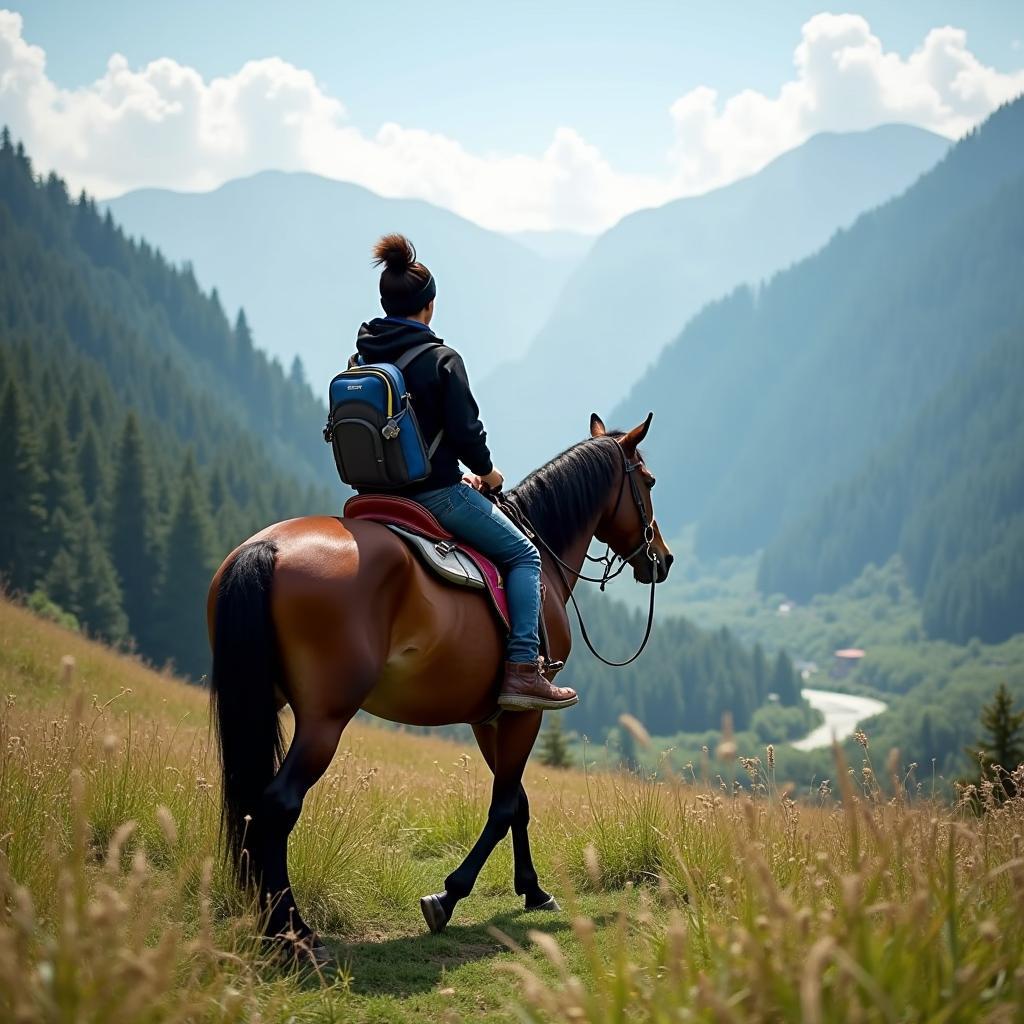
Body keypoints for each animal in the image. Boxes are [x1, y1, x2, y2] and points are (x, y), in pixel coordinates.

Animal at [207, 411, 671, 954]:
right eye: (649, 481)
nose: (662, 559)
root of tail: (269, 547)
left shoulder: (490, 716)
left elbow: (518, 802)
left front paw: (533, 890)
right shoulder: (529, 708)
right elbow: (504, 805)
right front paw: (449, 895)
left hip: (259, 702)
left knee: (251, 809)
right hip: (323, 719)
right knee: (277, 806)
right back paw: (294, 933)